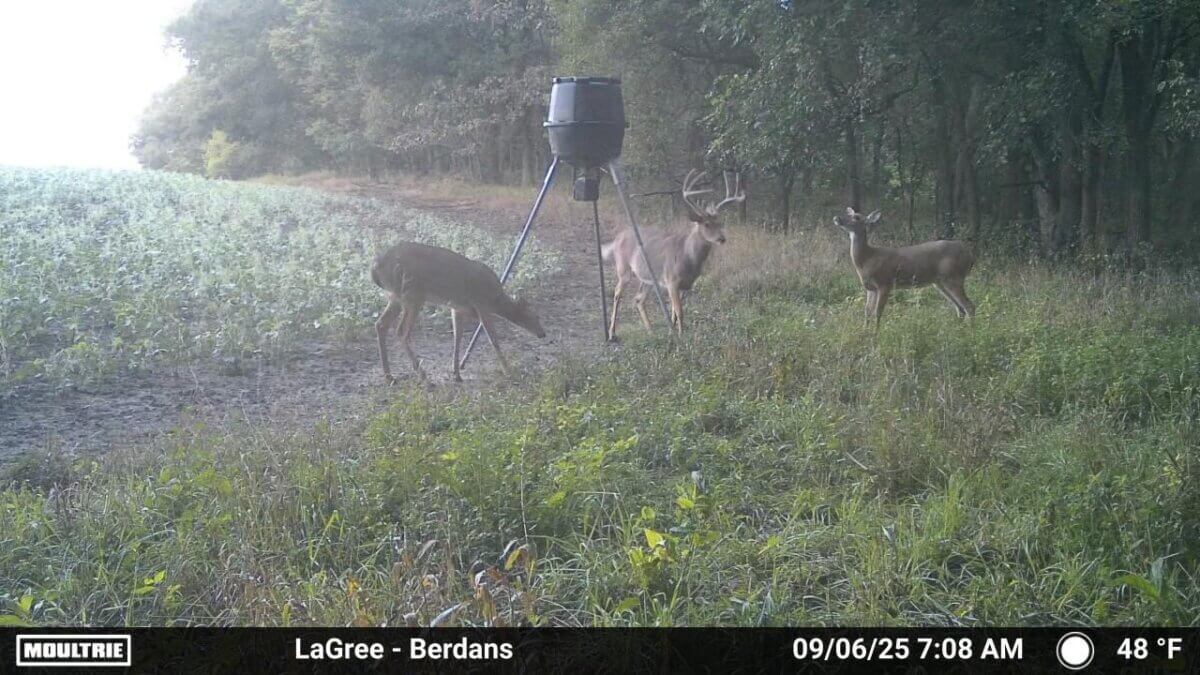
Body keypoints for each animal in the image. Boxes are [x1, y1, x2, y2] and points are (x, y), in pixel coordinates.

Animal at [370, 241, 546, 384]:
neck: (496, 301)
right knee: (401, 331)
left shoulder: (458, 308)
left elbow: (457, 338)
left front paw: (456, 374)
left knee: (381, 324)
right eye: (535, 316)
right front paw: (509, 372)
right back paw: (424, 377)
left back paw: (390, 377)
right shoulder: (481, 304)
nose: (542, 334)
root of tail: (375, 268)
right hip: (412, 293)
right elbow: (493, 339)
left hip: (396, 296)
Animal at [603, 169, 744, 338]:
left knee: (639, 299)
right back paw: (611, 333)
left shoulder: (685, 285)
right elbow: (680, 312)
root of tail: (617, 238)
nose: (722, 238)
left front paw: (673, 333)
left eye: (720, 223)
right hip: (623, 268)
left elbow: (675, 313)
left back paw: (651, 330)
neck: (688, 258)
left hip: (648, 278)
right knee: (617, 293)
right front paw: (681, 337)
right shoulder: (672, 281)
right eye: (706, 224)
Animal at [832, 207, 976, 327]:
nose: (836, 217)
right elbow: (867, 312)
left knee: (969, 306)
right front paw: (864, 332)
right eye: (849, 213)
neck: (866, 259)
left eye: (856, 217)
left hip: (953, 276)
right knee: (960, 308)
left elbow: (877, 313)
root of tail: (969, 254)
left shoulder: (885, 283)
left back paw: (971, 333)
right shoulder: (870, 288)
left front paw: (875, 336)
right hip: (940, 282)